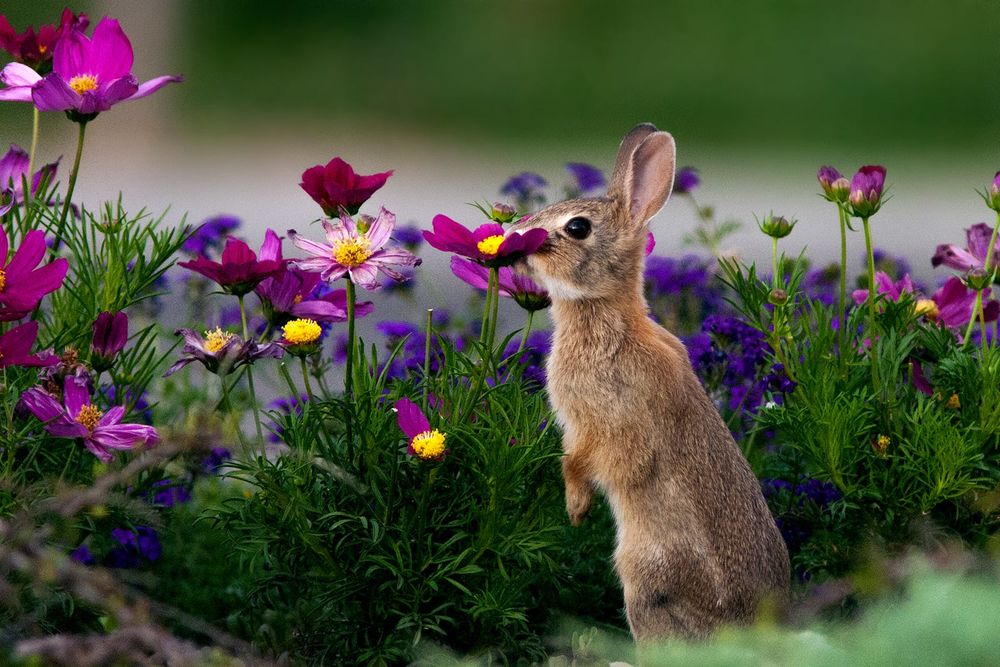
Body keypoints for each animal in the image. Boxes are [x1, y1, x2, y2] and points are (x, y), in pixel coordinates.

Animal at [506, 123, 790, 642]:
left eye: (577, 227)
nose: (515, 238)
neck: (610, 322)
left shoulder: (605, 423)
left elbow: (584, 463)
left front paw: (575, 510)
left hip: (645, 583)